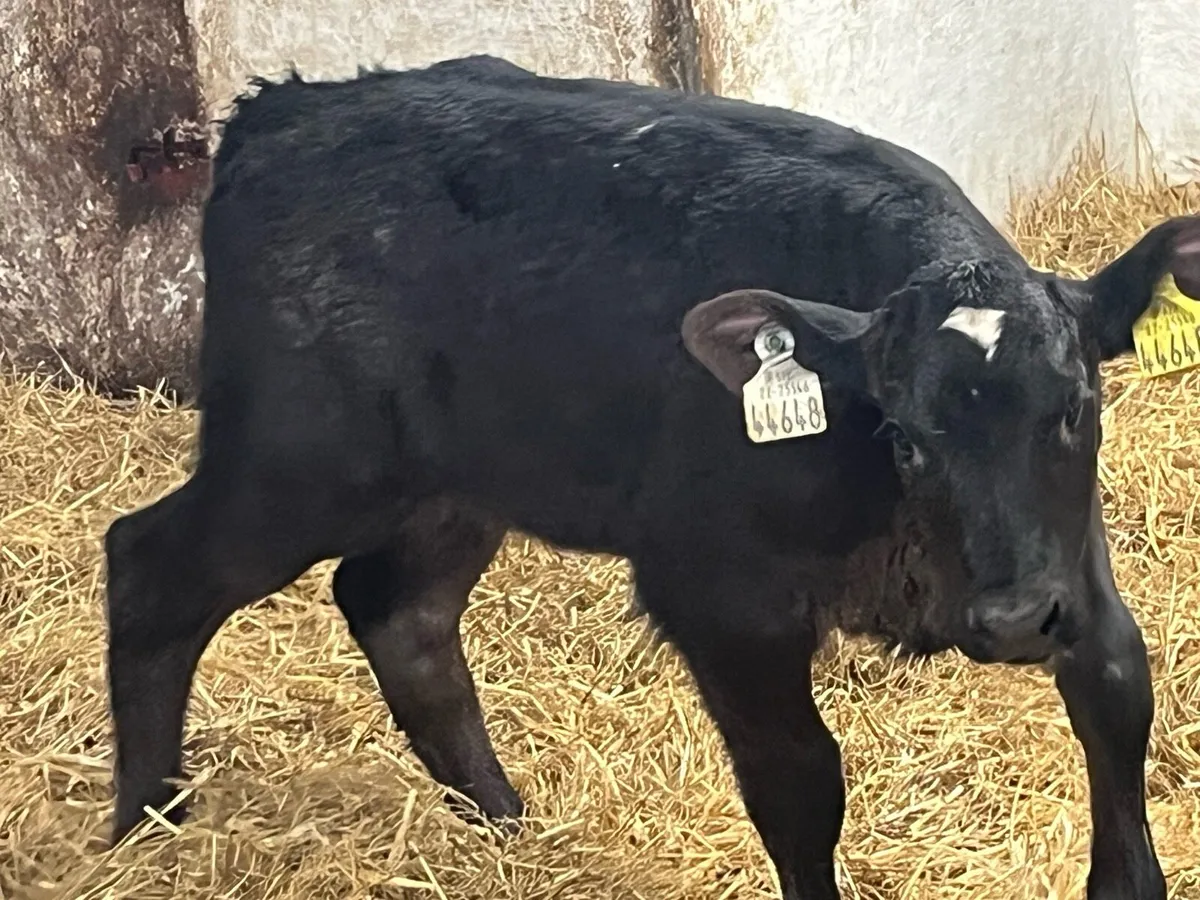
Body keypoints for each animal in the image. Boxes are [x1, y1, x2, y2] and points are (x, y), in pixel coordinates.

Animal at [102, 55, 1200, 899]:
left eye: (1076, 408)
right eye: (907, 439)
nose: (1011, 623)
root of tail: (284, 110)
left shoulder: (1071, 562)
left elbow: (1117, 688)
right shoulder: (717, 594)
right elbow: (800, 784)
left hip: (459, 483)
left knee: (396, 609)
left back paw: (503, 823)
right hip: (297, 463)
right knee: (152, 566)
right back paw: (148, 832)